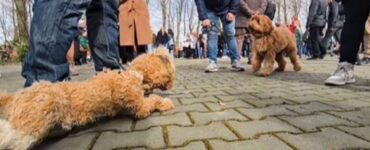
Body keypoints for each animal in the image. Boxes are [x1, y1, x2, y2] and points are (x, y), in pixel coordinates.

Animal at [0, 47, 176, 149]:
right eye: (171, 71)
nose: (171, 85)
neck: (132, 74)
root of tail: (15, 96)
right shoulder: (140, 108)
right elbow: (153, 100)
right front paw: (166, 102)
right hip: (38, 116)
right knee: (10, 135)